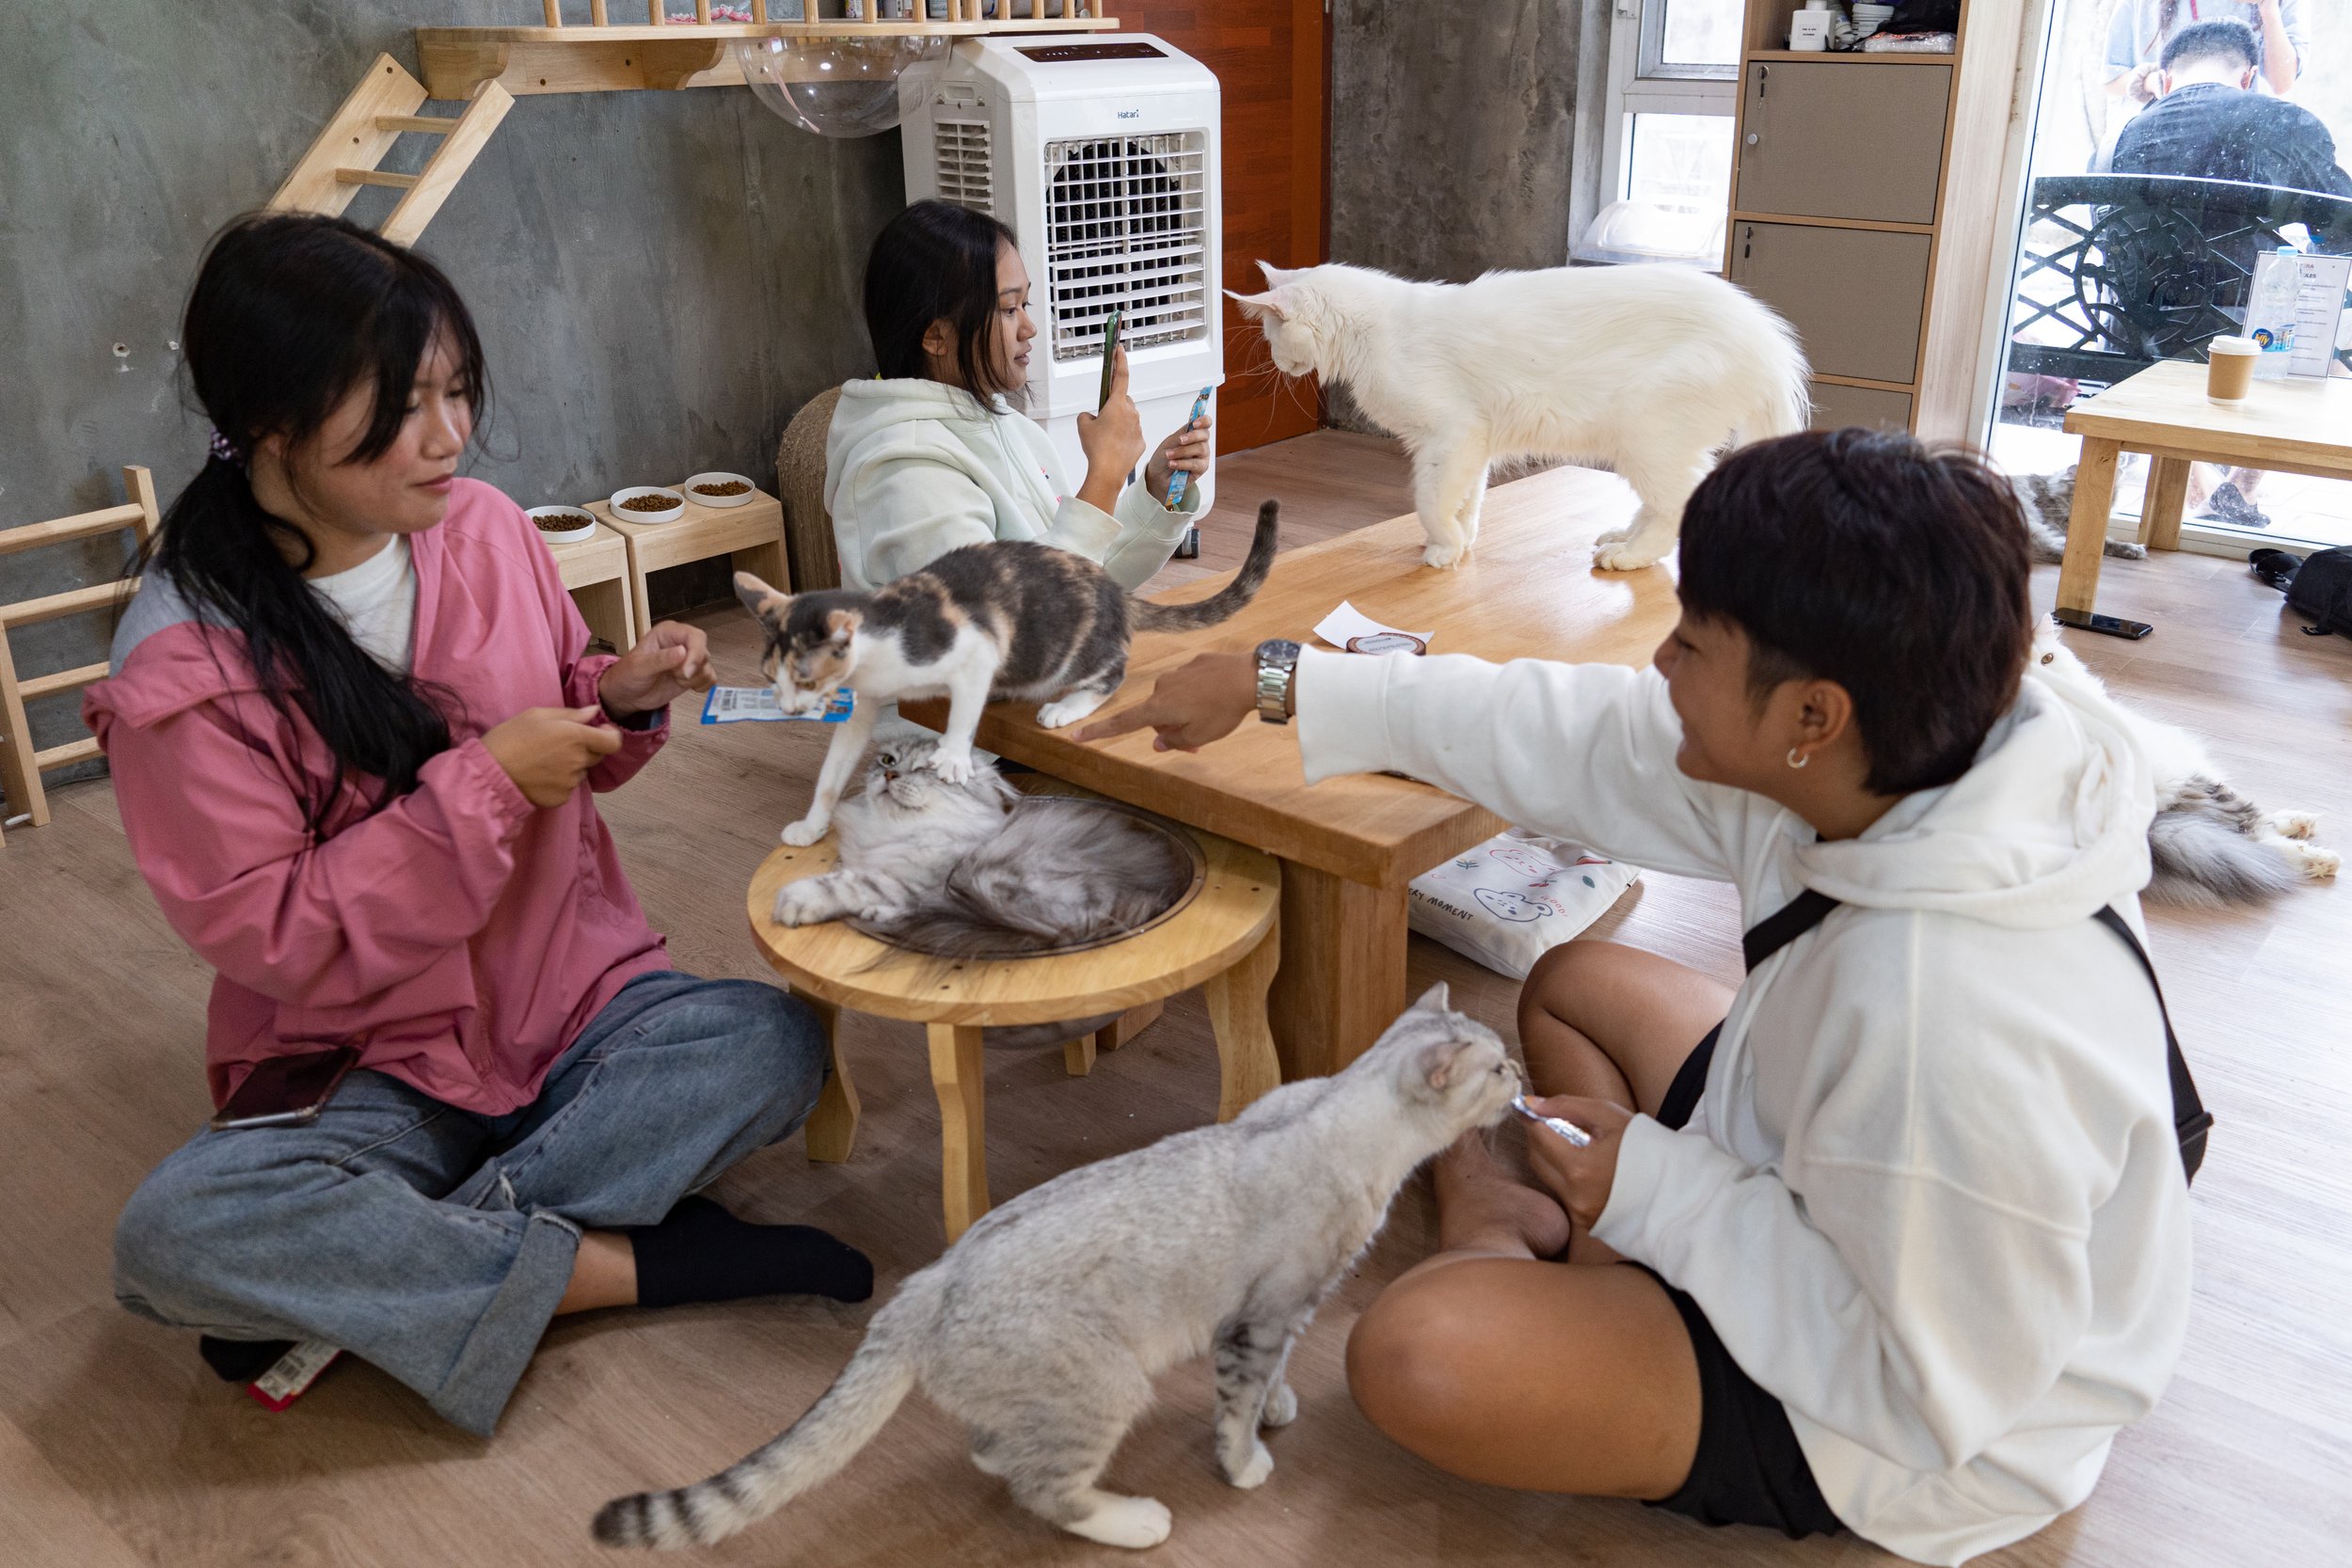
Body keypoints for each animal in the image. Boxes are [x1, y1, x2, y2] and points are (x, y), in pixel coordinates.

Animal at [593, 987, 1524, 1551]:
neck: (1339, 1111)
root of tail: (925, 1285)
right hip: (1107, 1385)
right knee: (1045, 1488)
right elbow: (1235, 1407)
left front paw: (1279, 1407)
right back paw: (1134, 1519)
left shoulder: (1284, 1313)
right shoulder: (1262, 1314)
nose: (1523, 1076)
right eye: (1497, 1067)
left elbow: (1275, 1376)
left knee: (998, 1453)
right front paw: (1247, 1458)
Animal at [739, 500, 1279, 846]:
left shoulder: (977, 646)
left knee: (1113, 670)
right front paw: (812, 825)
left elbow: (963, 707)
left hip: (1065, 651)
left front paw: (953, 755)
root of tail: (1116, 591)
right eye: (770, 677)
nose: (787, 706)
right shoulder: (863, 704)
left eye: (804, 677)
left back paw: (1066, 707)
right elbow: (832, 773)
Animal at [1223, 261, 1806, 573]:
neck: (1376, 330)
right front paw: (1458, 542)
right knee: (1664, 501)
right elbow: (1467, 499)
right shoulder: (1469, 444)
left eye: (1272, 336)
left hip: (1647, 435)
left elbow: (1430, 500)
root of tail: (1766, 334)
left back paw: (1630, 556)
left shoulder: (1449, 436)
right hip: (1647, 446)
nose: (1279, 363)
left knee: (1679, 502)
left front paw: (1443, 547)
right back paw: (1620, 537)